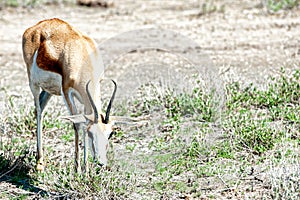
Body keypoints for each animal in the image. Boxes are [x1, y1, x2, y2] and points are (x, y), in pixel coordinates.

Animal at [22, 18, 116, 172]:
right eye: (91, 133)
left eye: (111, 133)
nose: (101, 162)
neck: (81, 55)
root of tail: (37, 26)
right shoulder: (66, 92)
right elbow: (77, 124)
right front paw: (77, 169)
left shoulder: (86, 98)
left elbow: (84, 121)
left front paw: (86, 170)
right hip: (33, 84)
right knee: (38, 110)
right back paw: (40, 163)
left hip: (49, 90)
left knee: (40, 106)